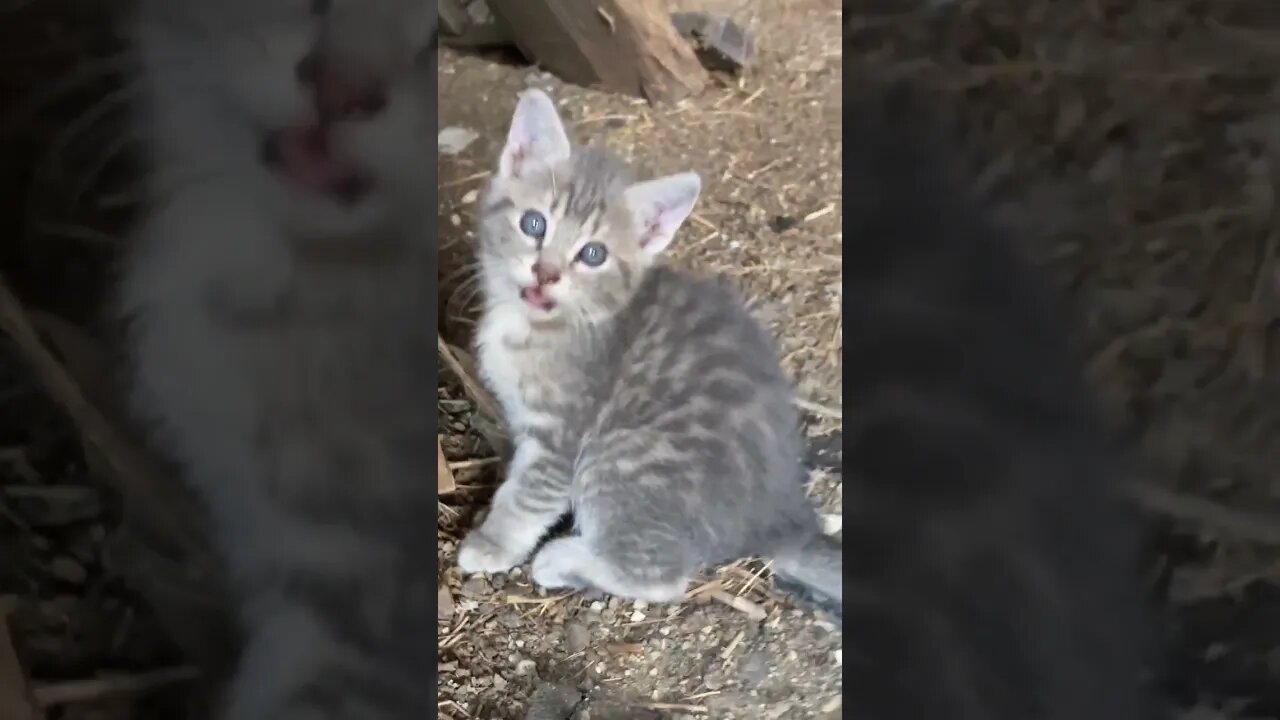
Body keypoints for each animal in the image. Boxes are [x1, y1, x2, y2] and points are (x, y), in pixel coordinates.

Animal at [455, 89, 844, 614]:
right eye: (533, 224)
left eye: (593, 254)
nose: (545, 273)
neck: (541, 325)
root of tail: (784, 515)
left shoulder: (562, 435)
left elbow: (526, 496)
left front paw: (492, 543)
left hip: (619, 456)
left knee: (663, 578)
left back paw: (565, 558)